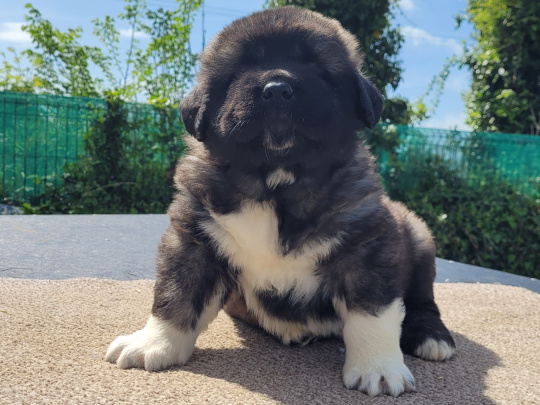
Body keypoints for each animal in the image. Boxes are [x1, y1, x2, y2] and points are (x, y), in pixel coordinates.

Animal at [105, 6, 456, 396]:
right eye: (238, 70)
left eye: (317, 67)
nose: (276, 89)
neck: (277, 182)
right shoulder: (194, 239)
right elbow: (175, 294)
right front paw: (153, 343)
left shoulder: (366, 247)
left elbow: (373, 312)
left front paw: (377, 367)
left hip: (420, 239)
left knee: (423, 300)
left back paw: (431, 337)